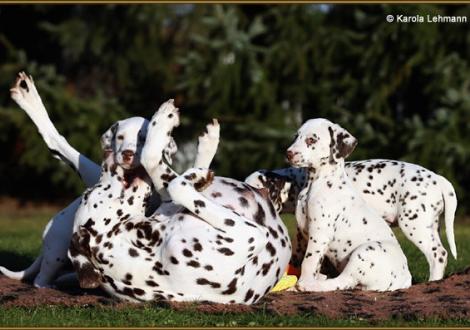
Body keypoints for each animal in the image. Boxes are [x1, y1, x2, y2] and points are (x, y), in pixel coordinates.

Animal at [282, 118, 412, 292]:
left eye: (311, 140)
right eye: (296, 137)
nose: (288, 153)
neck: (316, 183)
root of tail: (406, 279)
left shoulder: (319, 233)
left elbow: (308, 261)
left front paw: (301, 282)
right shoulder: (303, 231)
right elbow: (308, 261)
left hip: (364, 252)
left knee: (342, 281)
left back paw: (309, 285)